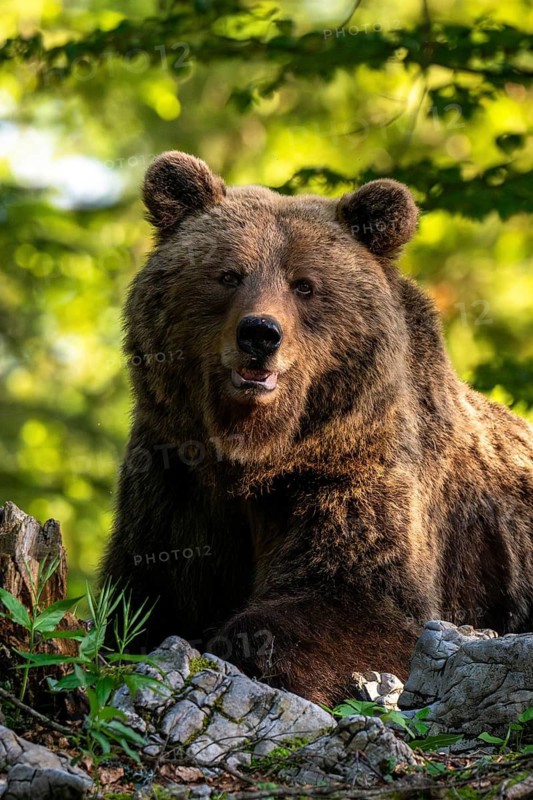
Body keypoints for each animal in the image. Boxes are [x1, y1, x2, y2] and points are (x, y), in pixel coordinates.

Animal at [100, 150, 533, 706]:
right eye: (229, 275)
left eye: (304, 285)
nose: (260, 333)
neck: (257, 452)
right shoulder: (174, 478)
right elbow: (144, 591)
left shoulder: (351, 468)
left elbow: (361, 598)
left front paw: (240, 643)